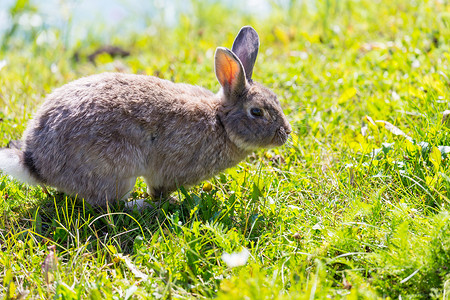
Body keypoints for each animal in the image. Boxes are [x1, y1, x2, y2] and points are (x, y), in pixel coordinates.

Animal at [0, 25, 292, 207]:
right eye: (257, 112)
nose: (286, 133)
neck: (220, 121)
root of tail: (36, 163)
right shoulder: (170, 171)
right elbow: (159, 190)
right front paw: (168, 201)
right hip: (118, 168)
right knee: (106, 204)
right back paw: (138, 205)